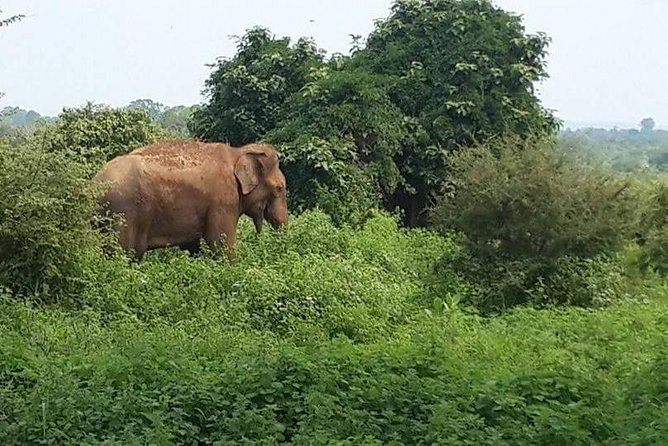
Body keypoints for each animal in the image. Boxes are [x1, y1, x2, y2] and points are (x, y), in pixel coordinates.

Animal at [93, 140, 288, 262]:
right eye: (280, 188)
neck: (238, 151)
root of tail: (94, 184)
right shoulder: (222, 200)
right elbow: (220, 242)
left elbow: (193, 246)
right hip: (123, 214)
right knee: (125, 254)